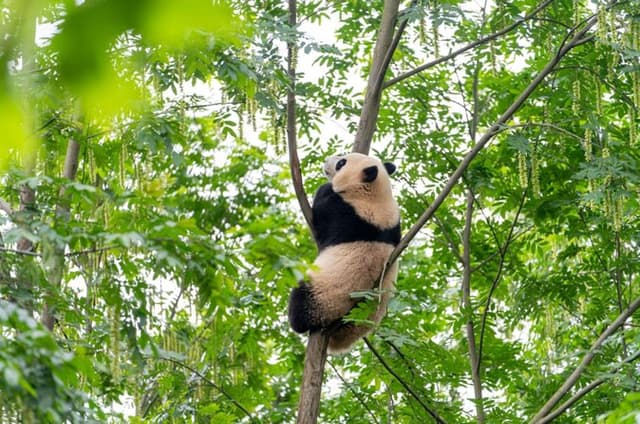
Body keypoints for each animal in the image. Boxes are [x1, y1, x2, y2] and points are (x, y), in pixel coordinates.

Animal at [288, 152, 401, 353]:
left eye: (341, 162)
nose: (326, 161)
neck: (376, 195)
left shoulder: (346, 212)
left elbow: (323, 212)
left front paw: (325, 187)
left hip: (324, 298)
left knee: (300, 304)